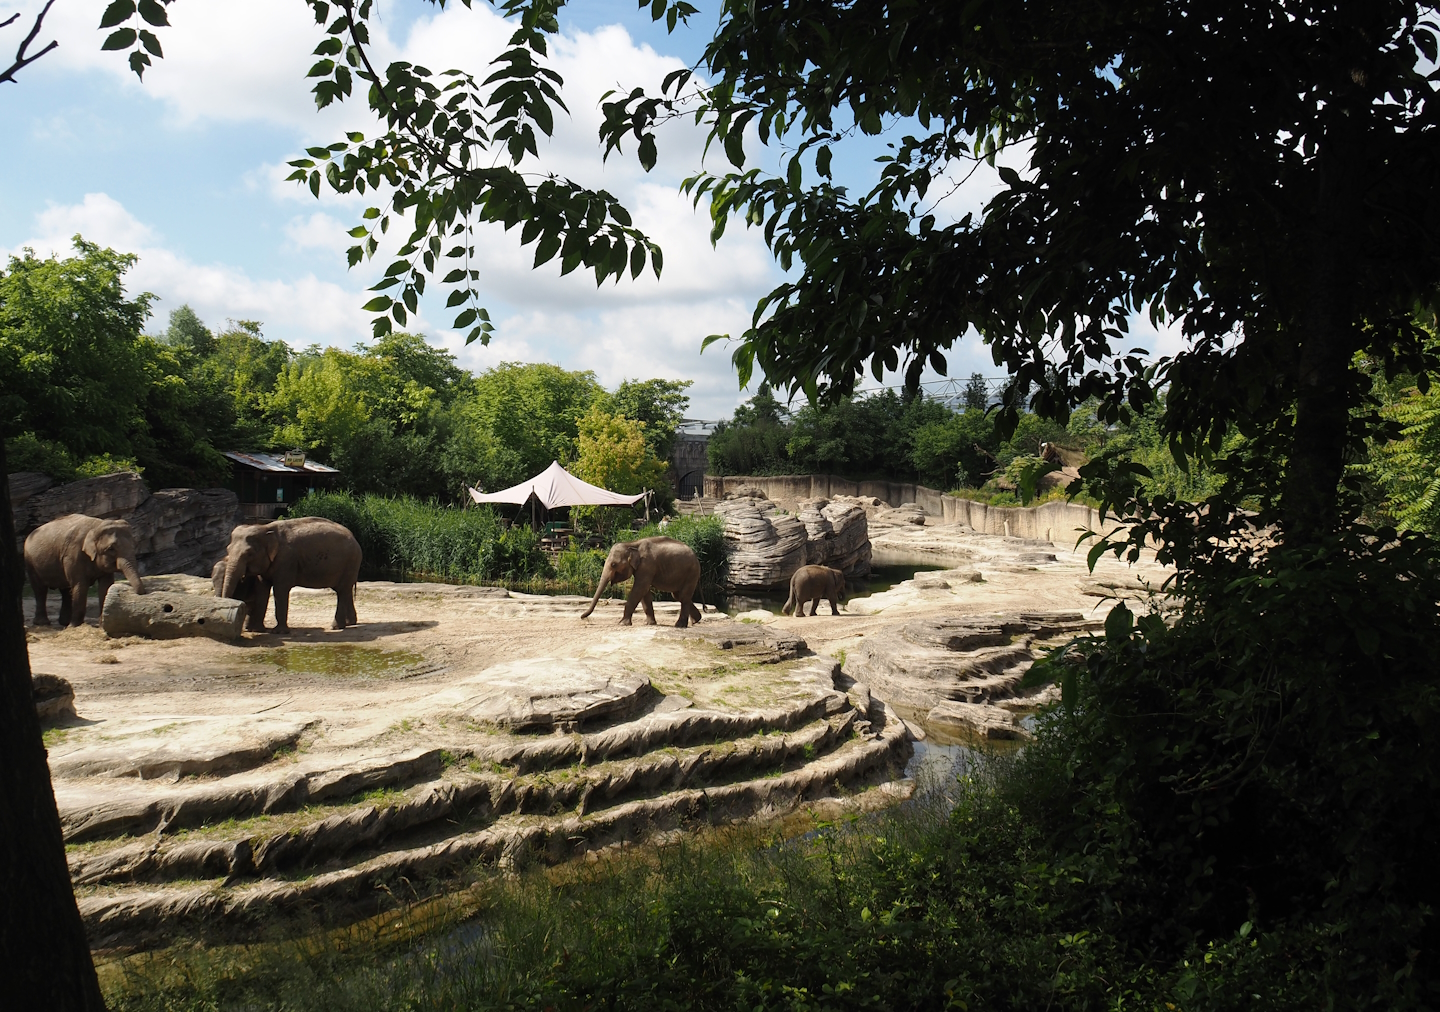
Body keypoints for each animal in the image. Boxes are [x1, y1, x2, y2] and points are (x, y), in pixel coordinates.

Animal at [218, 517, 362, 633]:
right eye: (228, 549)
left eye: (249, 554)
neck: (266, 528)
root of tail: (354, 538)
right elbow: (262, 589)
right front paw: (257, 630)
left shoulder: (286, 560)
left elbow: (280, 590)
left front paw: (279, 632)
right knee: (344, 590)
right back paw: (350, 623)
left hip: (350, 562)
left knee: (342, 591)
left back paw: (336, 627)